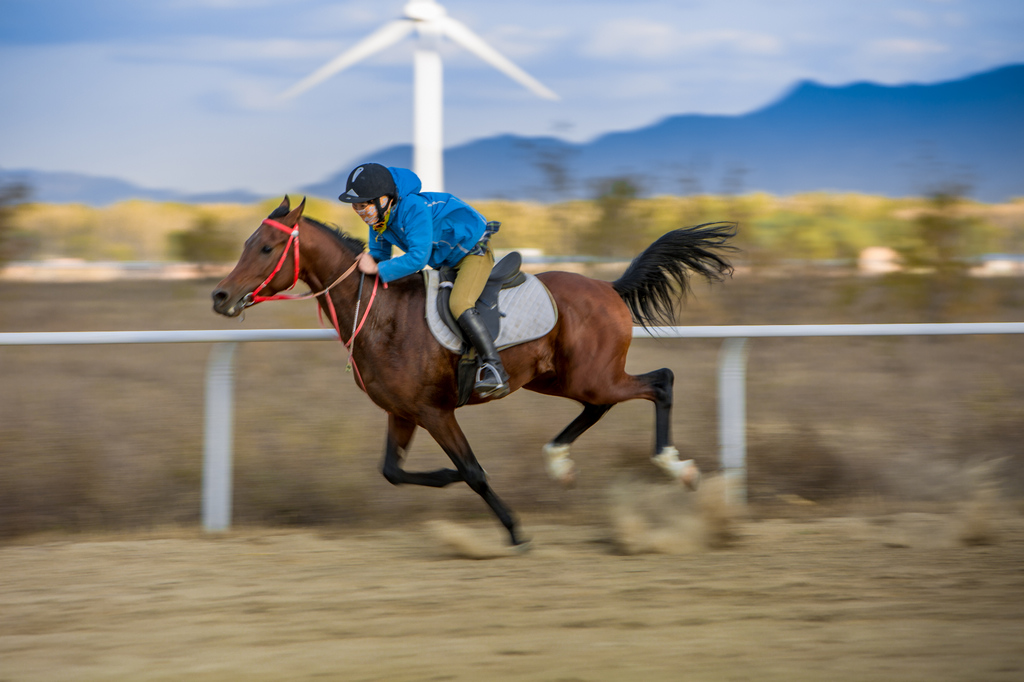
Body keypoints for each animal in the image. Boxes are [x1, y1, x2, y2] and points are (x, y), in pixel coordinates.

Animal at [211, 195, 733, 540]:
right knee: (601, 405)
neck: (380, 314)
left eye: (265, 248)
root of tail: (608, 287)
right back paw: (559, 462)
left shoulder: (435, 412)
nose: (220, 296)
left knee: (660, 382)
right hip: (562, 378)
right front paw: (445, 478)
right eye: (246, 242)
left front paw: (514, 529)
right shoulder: (402, 413)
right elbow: (392, 471)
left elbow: (475, 471)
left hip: (593, 375)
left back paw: (677, 467)